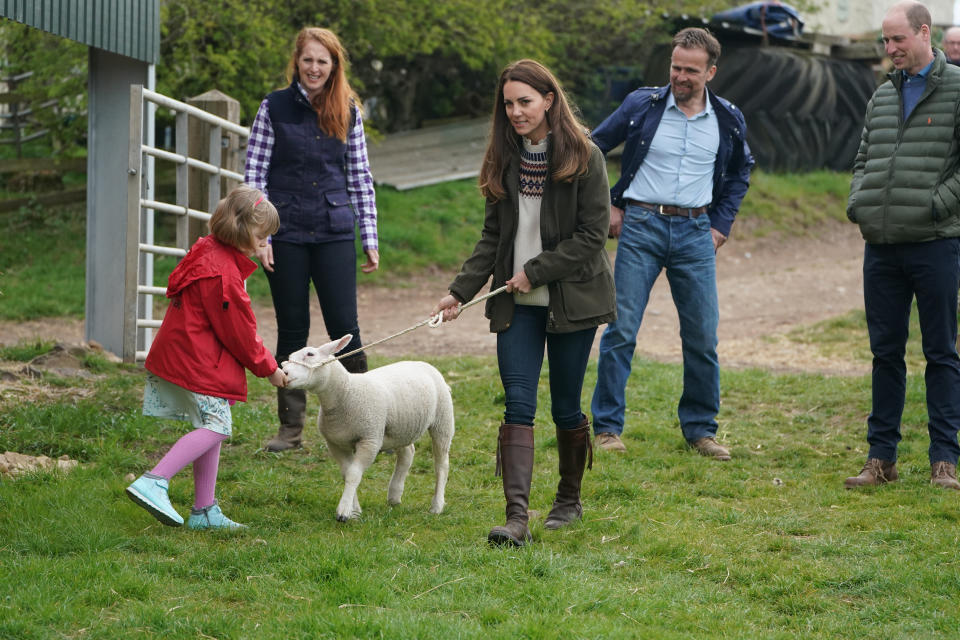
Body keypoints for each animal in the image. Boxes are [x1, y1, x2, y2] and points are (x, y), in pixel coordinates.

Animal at [282, 336, 454, 520]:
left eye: (310, 354)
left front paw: (343, 511)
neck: (347, 392)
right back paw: (394, 496)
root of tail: (422, 363)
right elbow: (347, 474)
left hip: (443, 420)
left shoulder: (369, 440)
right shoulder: (335, 443)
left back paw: (436, 506)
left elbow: (353, 474)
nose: (284, 373)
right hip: (402, 426)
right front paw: (355, 511)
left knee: (441, 464)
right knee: (407, 454)